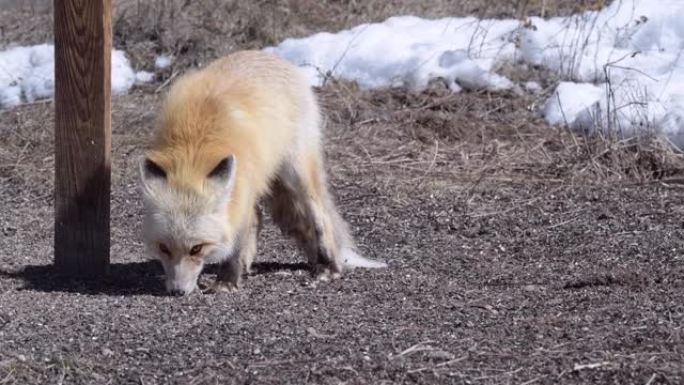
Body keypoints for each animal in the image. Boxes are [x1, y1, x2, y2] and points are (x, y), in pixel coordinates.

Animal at [140, 48, 384, 294]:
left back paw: (328, 266)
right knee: (258, 217)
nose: (177, 292)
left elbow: (237, 242)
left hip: (295, 171)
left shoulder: (243, 185)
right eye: (163, 248)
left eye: (196, 248)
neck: (193, 150)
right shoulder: (241, 189)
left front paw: (226, 281)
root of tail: (269, 56)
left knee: (320, 215)